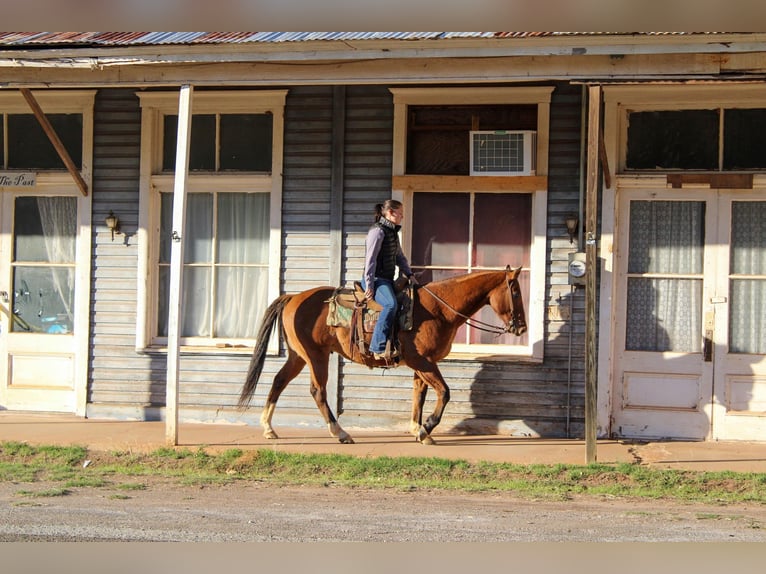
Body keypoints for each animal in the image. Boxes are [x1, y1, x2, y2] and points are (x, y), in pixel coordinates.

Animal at [238, 268, 528, 448]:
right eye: (515, 292)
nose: (521, 328)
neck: (437, 308)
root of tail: (293, 297)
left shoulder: (423, 364)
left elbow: (419, 395)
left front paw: (418, 430)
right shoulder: (423, 362)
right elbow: (444, 393)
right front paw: (426, 429)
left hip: (298, 356)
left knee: (278, 380)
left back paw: (268, 428)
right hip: (315, 355)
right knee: (317, 391)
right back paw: (340, 433)